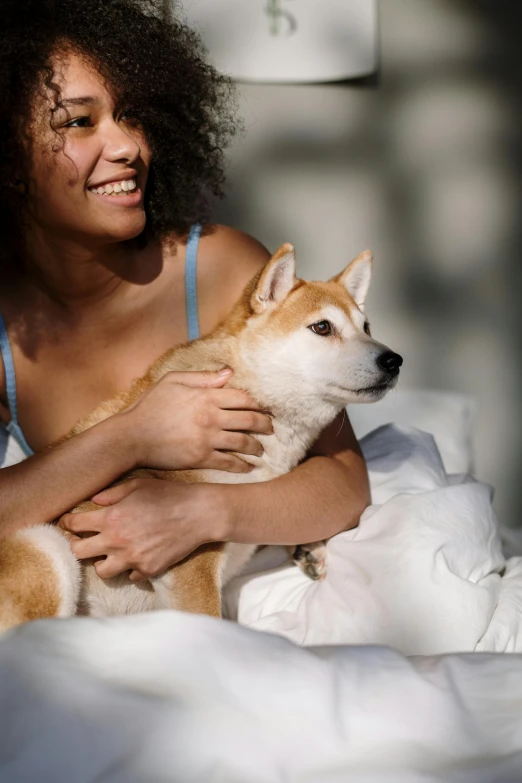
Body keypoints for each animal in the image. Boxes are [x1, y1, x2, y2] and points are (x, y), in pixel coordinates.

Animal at [0, 245, 400, 632]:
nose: (394, 360)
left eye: (366, 327)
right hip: (49, 547)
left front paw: (309, 547)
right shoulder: (191, 565)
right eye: (322, 327)